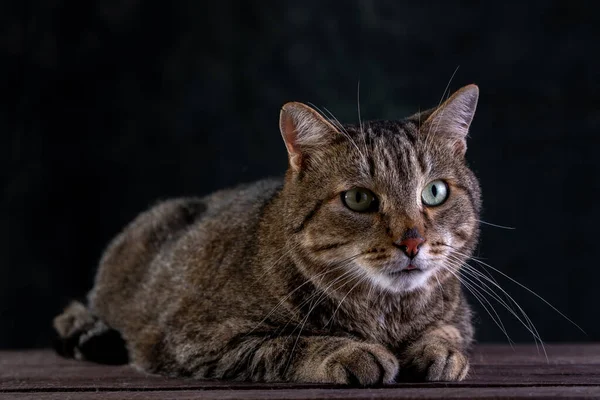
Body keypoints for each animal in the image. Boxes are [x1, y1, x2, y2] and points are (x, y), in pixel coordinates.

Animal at [54, 84, 480, 384]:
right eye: (359, 199)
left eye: (434, 192)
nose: (412, 241)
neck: (387, 315)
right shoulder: (199, 339)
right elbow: (287, 344)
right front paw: (349, 352)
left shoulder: (459, 317)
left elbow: (447, 332)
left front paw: (440, 352)